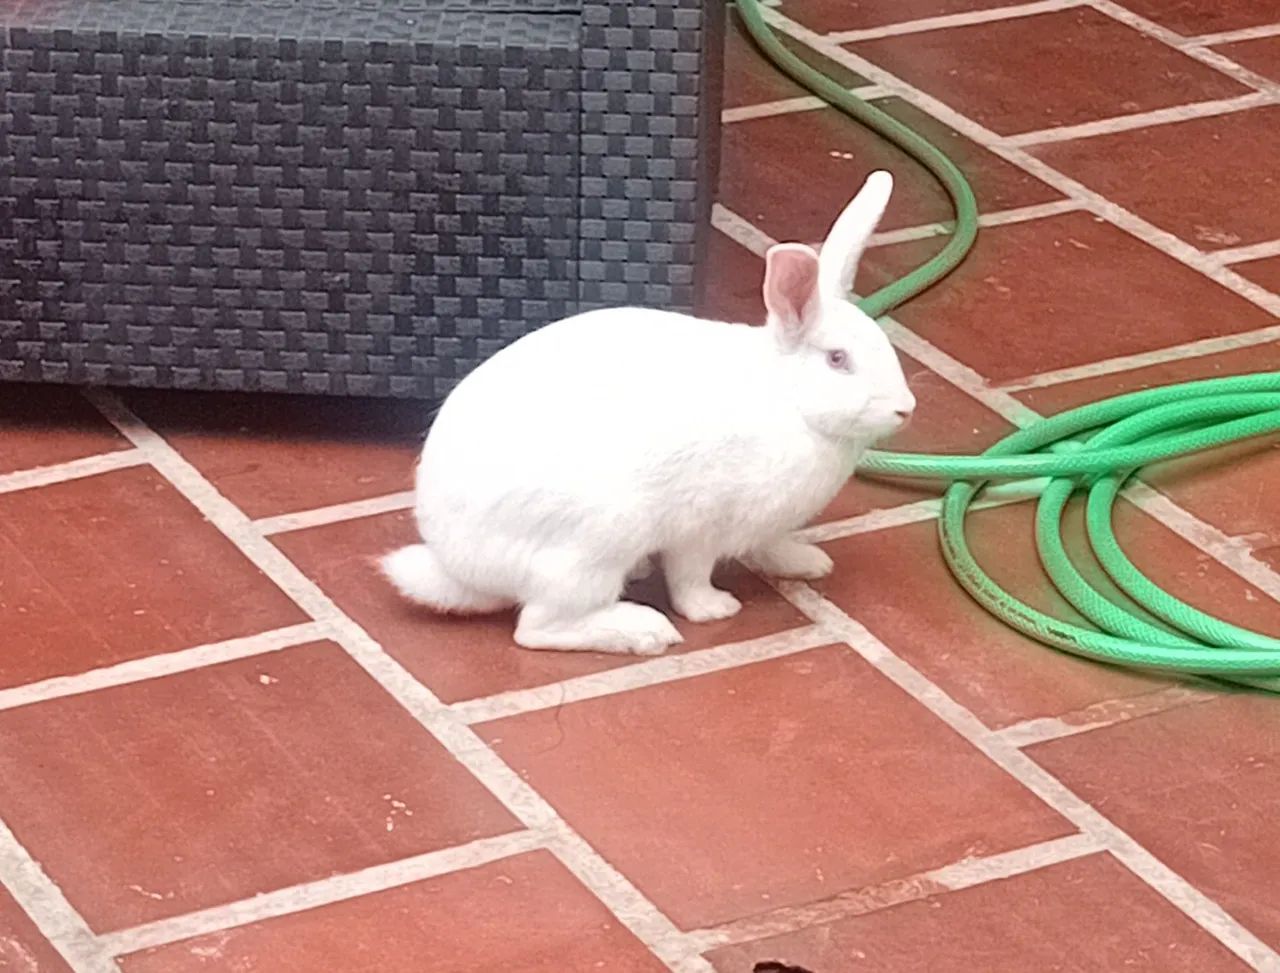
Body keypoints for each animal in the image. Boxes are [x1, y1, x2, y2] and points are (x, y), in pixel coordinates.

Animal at [382, 170, 915, 655]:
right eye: (838, 360)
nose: (905, 408)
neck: (789, 402)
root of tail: (455, 562)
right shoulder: (701, 526)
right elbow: (689, 577)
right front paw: (714, 608)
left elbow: (769, 546)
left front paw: (806, 561)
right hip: (597, 542)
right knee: (537, 628)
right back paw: (643, 632)